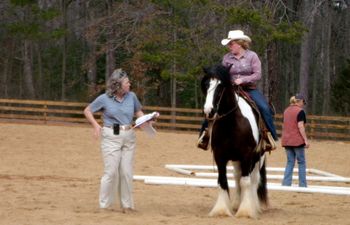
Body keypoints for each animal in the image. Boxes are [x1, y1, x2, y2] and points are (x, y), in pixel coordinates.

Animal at [200, 64, 268, 219]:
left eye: (220, 86)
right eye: (206, 85)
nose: (208, 110)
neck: (231, 124)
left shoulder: (247, 155)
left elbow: (246, 182)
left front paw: (246, 211)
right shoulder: (220, 156)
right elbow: (223, 181)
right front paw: (222, 210)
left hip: (257, 159)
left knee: (253, 180)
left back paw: (254, 206)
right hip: (237, 160)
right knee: (237, 178)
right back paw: (237, 204)